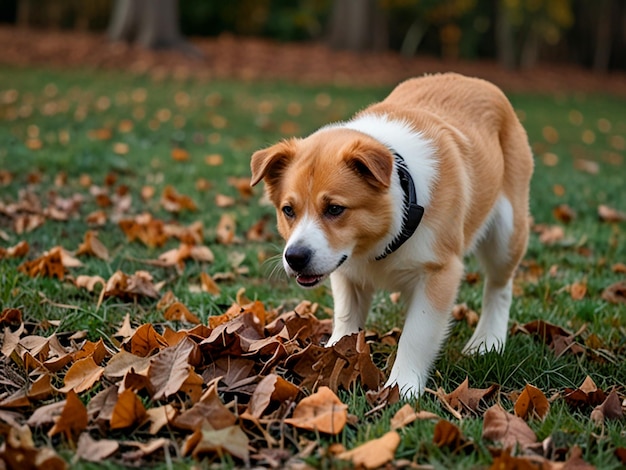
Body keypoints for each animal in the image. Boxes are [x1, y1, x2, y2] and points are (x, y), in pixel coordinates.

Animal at [249, 72, 532, 396]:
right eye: (288, 210)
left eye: (335, 209)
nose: (295, 258)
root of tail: (475, 80)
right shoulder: (348, 274)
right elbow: (346, 322)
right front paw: (331, 357)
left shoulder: (440, 272)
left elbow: (416, 335)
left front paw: (402, 387)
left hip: (507, 232)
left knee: (499, 286)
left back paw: (488, 341)